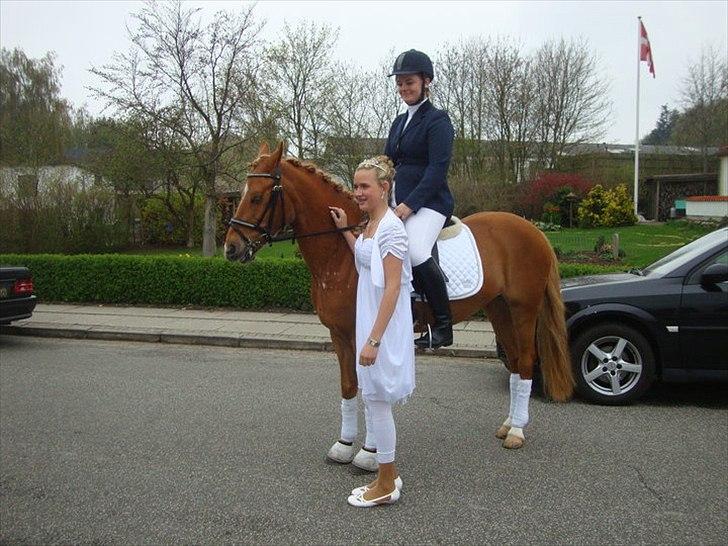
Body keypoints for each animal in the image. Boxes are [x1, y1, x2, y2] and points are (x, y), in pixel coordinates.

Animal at [224, 142, 573, 470]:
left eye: (257, 197)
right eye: (241, 194)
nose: (231, 248)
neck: (343, 253)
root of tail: (533, 229)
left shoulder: (365, 334)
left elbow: (371, 392)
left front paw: (369, 453)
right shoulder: (340, 335)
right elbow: (348, 387)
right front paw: (344, 446)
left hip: (523, 309)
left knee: (526, 360)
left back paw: (516, 432)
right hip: (499, 309)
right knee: (514, 361)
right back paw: (507, 425)